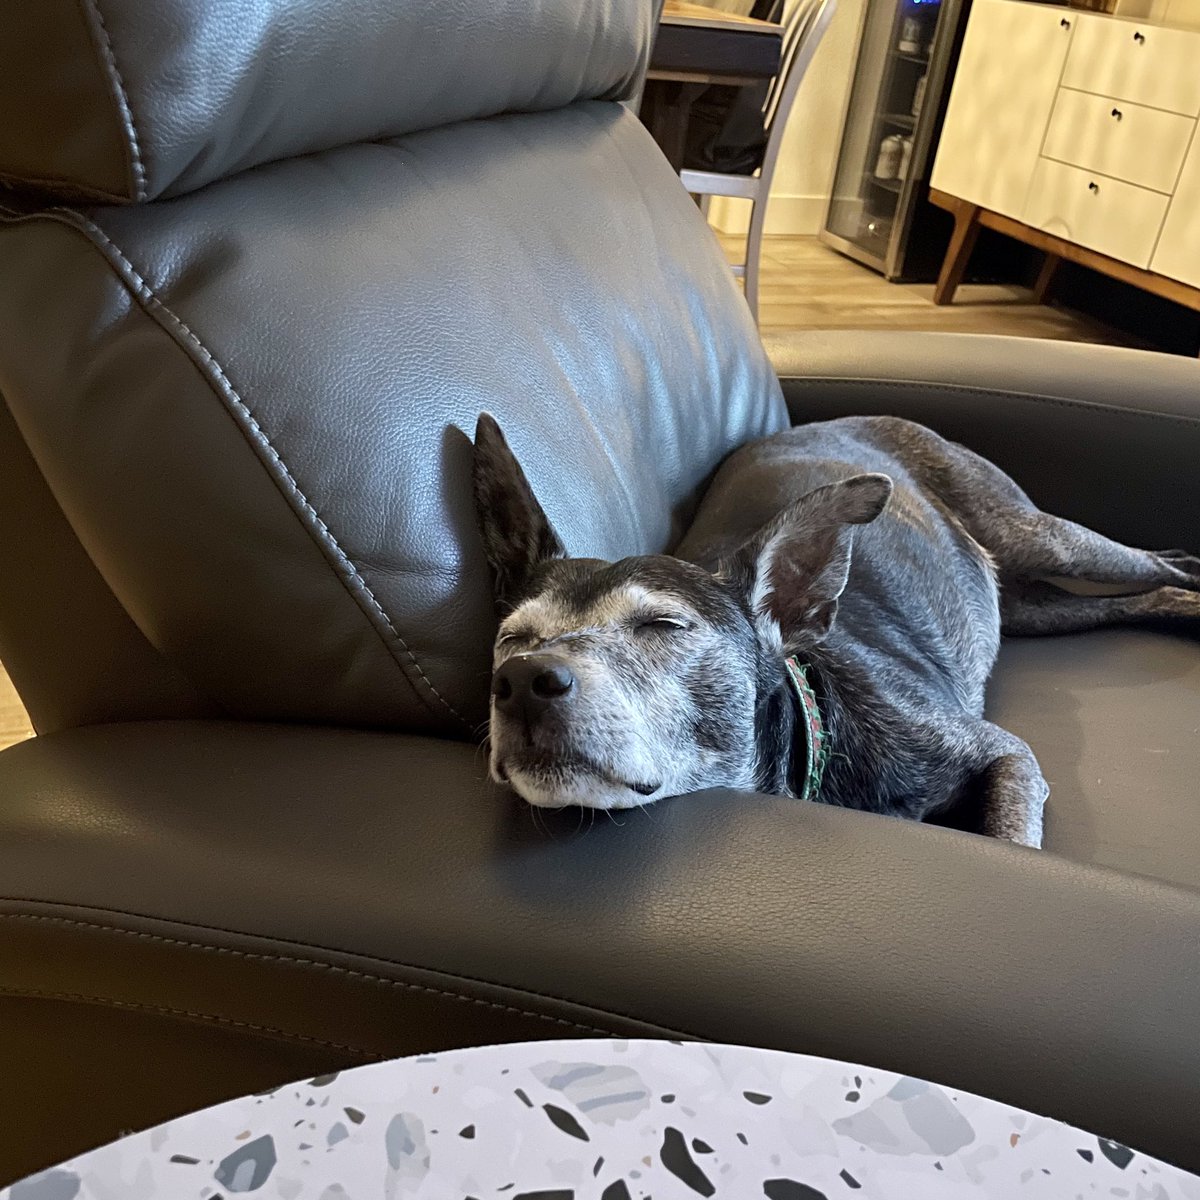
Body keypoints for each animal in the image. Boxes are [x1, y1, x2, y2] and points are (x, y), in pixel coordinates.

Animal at [470, 412, 1200, 844]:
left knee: (1159, 565)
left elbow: (1009, 839)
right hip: (1034, 604)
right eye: (511, 640)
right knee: (1138, 595)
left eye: (663, 625)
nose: (523, 681)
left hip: (1041, 535)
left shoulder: (1009, 757)